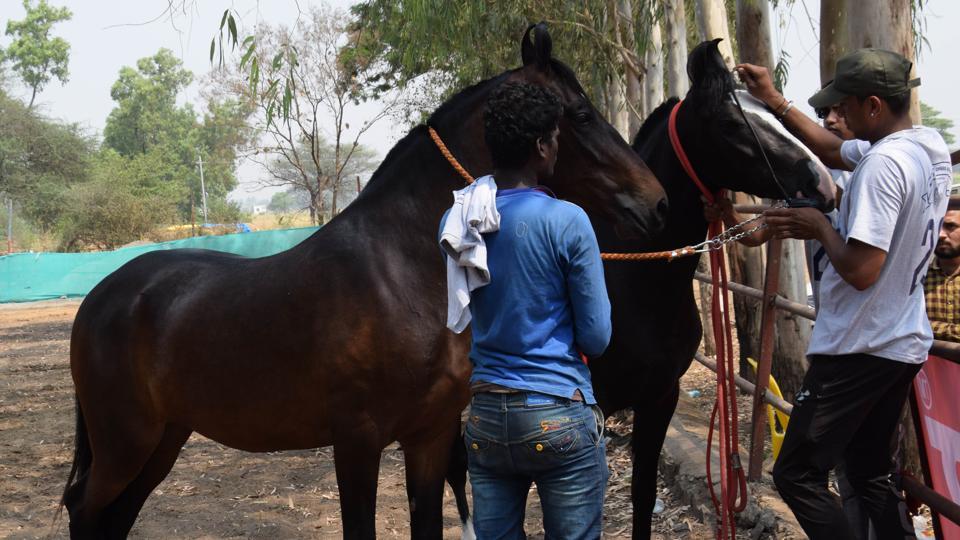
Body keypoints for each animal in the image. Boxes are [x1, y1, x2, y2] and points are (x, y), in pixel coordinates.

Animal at [60, 23, 668, 536]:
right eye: (581, 114)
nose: (658, 204)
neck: (399, 273)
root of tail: (101, 298)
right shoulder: (356, 441)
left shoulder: (430, 438)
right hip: (125, 444)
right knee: (84, 512)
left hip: (162, 440)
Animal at [588, 40, 836, 536]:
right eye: (731, 123)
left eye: (774, 114)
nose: (821, 182)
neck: (631, 285)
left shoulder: (660, 397)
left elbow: (642, 495)